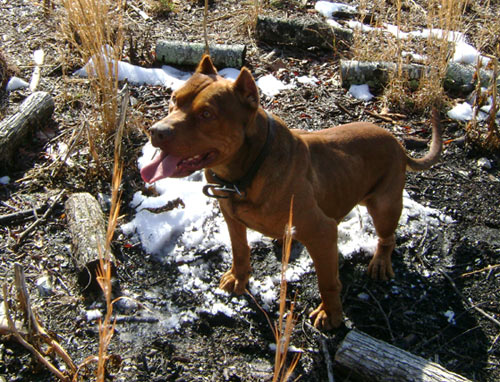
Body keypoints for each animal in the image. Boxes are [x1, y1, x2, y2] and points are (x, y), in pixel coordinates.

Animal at [140, 55, 442, 330]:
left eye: (207, 115)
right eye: (174, 99)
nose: (156, 131)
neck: (247, 170)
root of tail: (397, 142)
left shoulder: (322, 232)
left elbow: (327, 281)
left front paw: (331, 314)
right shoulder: (232, 219)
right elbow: (240, 250)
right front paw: (239, 277)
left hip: (384, 205)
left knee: (387, 237)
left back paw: (380, 262)